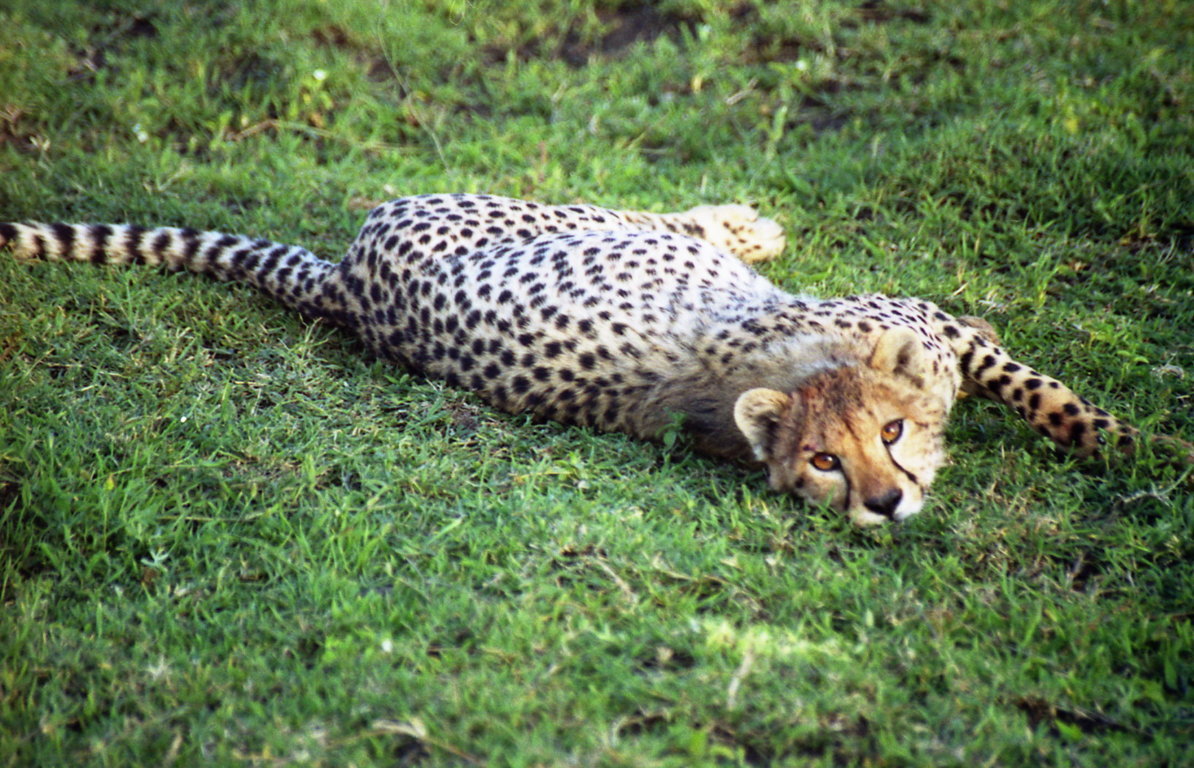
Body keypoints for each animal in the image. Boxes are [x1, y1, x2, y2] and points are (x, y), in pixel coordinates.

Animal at [0, 195, 1184, 525]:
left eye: (889, 435)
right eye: (824, 463)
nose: (886, 503)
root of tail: (346, 284)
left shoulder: (927, 332)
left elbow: (1017, 377)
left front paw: (1123, 440)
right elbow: (1014, 372)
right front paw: (1132, 442)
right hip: (582, 221)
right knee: (679, 220)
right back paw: (749, 225)